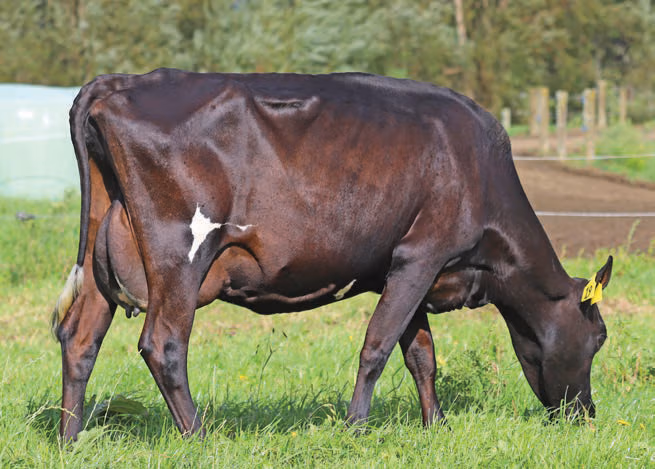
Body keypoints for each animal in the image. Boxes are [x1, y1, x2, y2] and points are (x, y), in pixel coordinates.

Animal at [52, 69, 612, 441]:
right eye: (601, 337)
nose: (586, 415)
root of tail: (117, 82)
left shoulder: (400, 268)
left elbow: (420, 353)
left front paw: (437, 426)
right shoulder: (422, 255)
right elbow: (378, 347)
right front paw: (357, 429)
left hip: (104, 248)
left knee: (80, 337)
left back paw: (70, 439)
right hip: (181, 254)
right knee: (163, 343)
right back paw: (199, 437)